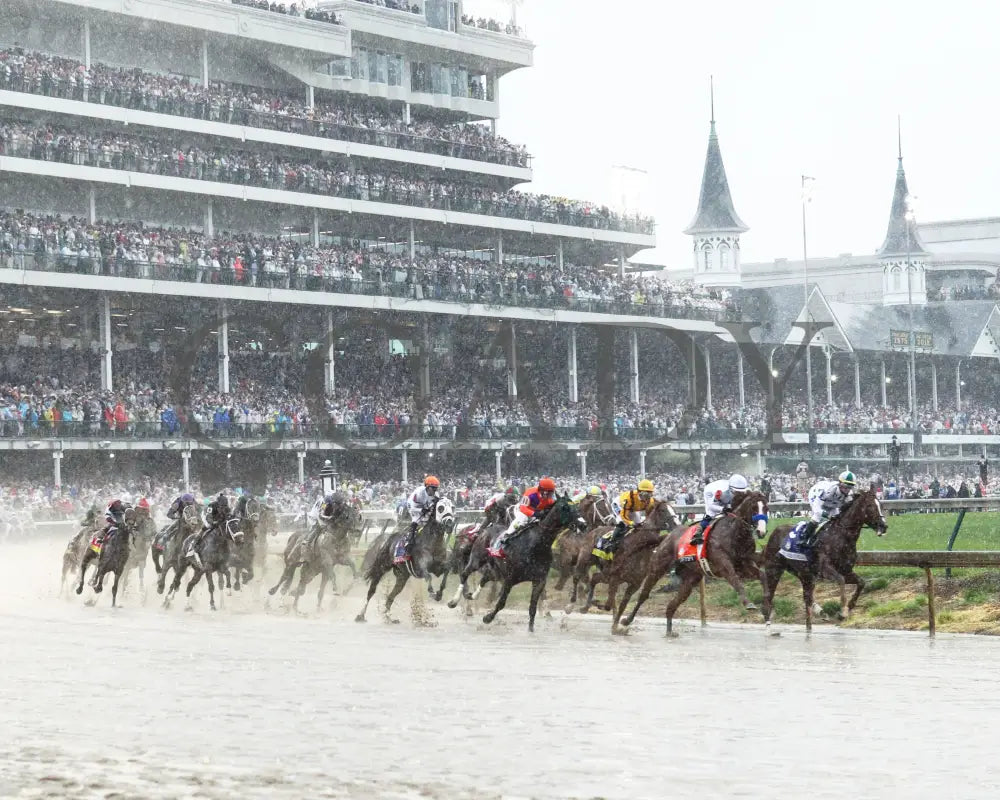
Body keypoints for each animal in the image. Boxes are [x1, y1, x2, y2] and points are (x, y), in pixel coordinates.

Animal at [356, 494, 458, 624]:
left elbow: (446, 572)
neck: (433, 543)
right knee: (371, 591)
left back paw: (389, 617)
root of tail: (387, 539)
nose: (450, 523)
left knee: (391, 596)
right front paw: (432, 592)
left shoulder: (438, 568)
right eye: (440, 508)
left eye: (453, 507)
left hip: (402, 576)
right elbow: (428, 576)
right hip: (381, 568)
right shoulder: (420, 568)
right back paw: (361, 615)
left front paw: (439, 594)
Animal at [620, 490, 768, 636]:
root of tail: (669, 535)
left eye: (766, 508)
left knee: (673, 604)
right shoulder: (723, 564)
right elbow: (735, 580)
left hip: (690, 579)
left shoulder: (742, 565)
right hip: (657, 568)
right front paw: (749, 604)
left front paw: (766, 605)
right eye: (754, 508)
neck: (734, 533)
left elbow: (761, 575)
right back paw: (626, 621)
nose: (761, 531)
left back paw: (669, 630)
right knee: (644, 595)